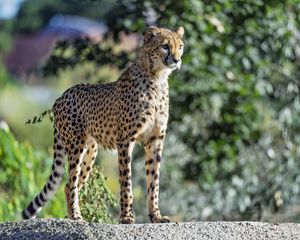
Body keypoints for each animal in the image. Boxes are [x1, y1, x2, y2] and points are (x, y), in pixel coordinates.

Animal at [22, 25, 184, 223]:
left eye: (180, 46)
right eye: (165, 46)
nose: (177, 59)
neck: (157, 77)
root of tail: (61, 96)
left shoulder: (155, 140)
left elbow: (154, 182)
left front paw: (156, 216)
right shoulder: (125, 140)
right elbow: (126, 181)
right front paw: (126, 217)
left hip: (91, 151)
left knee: (70, 185)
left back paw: (72, 215)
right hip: (76, 145)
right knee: (71, 183)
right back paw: (76, 216)